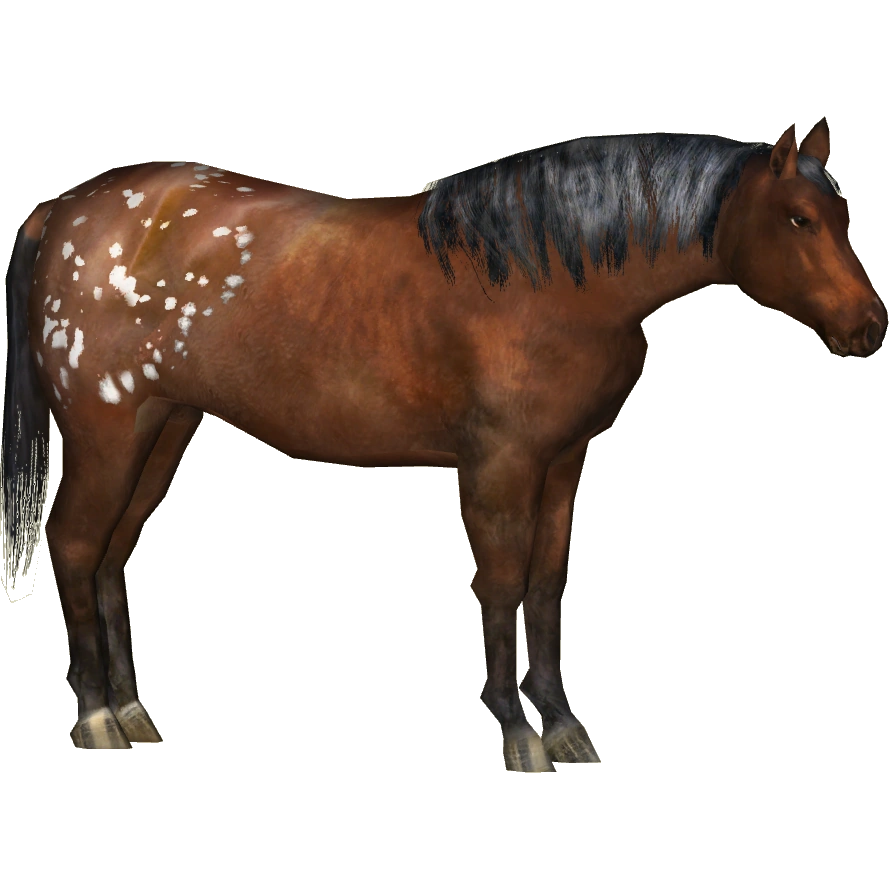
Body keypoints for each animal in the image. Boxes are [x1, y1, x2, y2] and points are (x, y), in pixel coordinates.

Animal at [1, 119, 883, 774]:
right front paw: (517, 730)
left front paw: (562, 723)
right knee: (73, 546)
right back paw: (96, 718)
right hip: (108, 430)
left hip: (163, 429)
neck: (543, 275)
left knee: (112, 555)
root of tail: (62, 210)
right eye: (798, 218)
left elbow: (546, 587)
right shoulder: (500, 466)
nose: (868, 328)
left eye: (843, 214)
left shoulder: (563, 464)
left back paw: (134, 711)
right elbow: (499, 585)